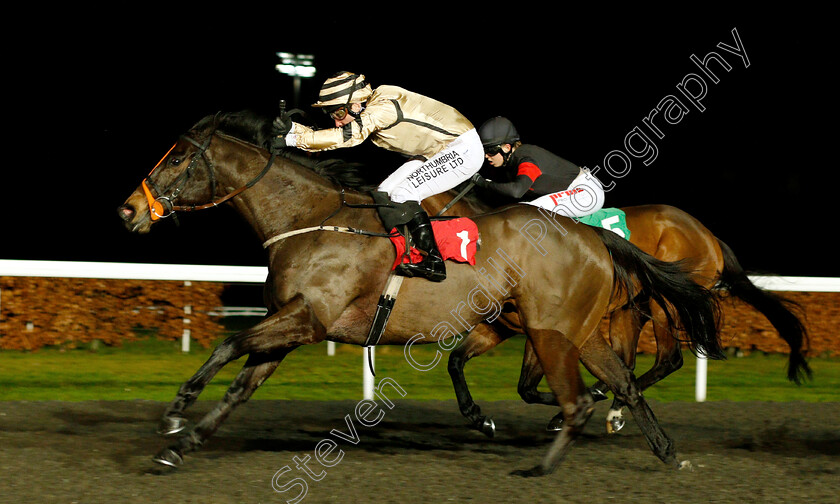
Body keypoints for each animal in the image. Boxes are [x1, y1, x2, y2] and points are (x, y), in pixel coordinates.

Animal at [115, 110, 724, 476]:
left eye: (177, 157)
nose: (129, 209)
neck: (309, 219)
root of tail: (594, 234)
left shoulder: (307, 318)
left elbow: (224, 346)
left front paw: (174, 416)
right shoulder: (291, 324)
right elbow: (240, 386)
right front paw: (180, 445)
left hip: (551, 332)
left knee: (581, 400)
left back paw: (541, 466)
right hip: (576, 330)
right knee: (623, 384)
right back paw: (668, 453)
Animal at [424, 188, 812, 434]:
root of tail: (709, 235)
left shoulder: (542, 327)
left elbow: (528, 387)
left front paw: (571, 408)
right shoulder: (499, 326)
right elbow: (458, 363)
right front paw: (480, 418)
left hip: (663, 303)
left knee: (668, 359)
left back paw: (608, 406)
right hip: (629, 308)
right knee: (628, 359)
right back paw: (610, 403)